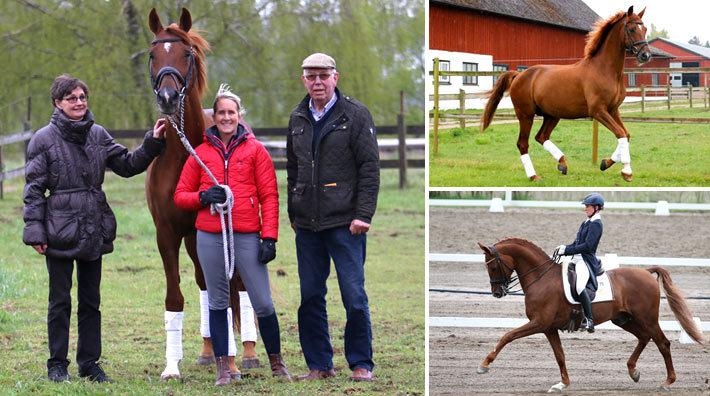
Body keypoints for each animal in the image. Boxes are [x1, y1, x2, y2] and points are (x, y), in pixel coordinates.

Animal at [144, 8, 256, 380]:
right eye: (153, 54)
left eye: (187, 54)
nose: (167, 98)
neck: (183, 156)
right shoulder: (167, 234)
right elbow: (176, 297)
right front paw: (171, 367)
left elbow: (226, 286)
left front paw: (232, 361)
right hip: (194, 240)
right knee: (205, 285)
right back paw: (209, 352)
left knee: (239, 284)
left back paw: (248, 353)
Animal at [478, 237, 708, 394]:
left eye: (493, 265)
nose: (497, 293)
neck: (541, 278)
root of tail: (645, 272)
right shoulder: (548, 327)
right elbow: (560, 355)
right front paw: (562, 384)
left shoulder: (539, 323)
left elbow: (507, 336)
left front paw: (484, 365)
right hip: (624, 319)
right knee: (644, 338)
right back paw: (633, 372)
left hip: (647, 318)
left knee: (662, 343)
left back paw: (668, 381)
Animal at [482, 6, 652, 183]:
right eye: (632, 29)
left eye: (645, 29)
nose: (645, 55)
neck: (604, 70)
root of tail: (519, 75)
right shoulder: (598, 111)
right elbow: (621, 134)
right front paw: (626, 172)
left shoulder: (613, 110)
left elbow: (626, 134)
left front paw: (606, 163)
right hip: (526, 115)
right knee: (523, 143)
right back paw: (534, 176)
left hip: (551, 115)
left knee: (541, 137)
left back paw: (562, 164)